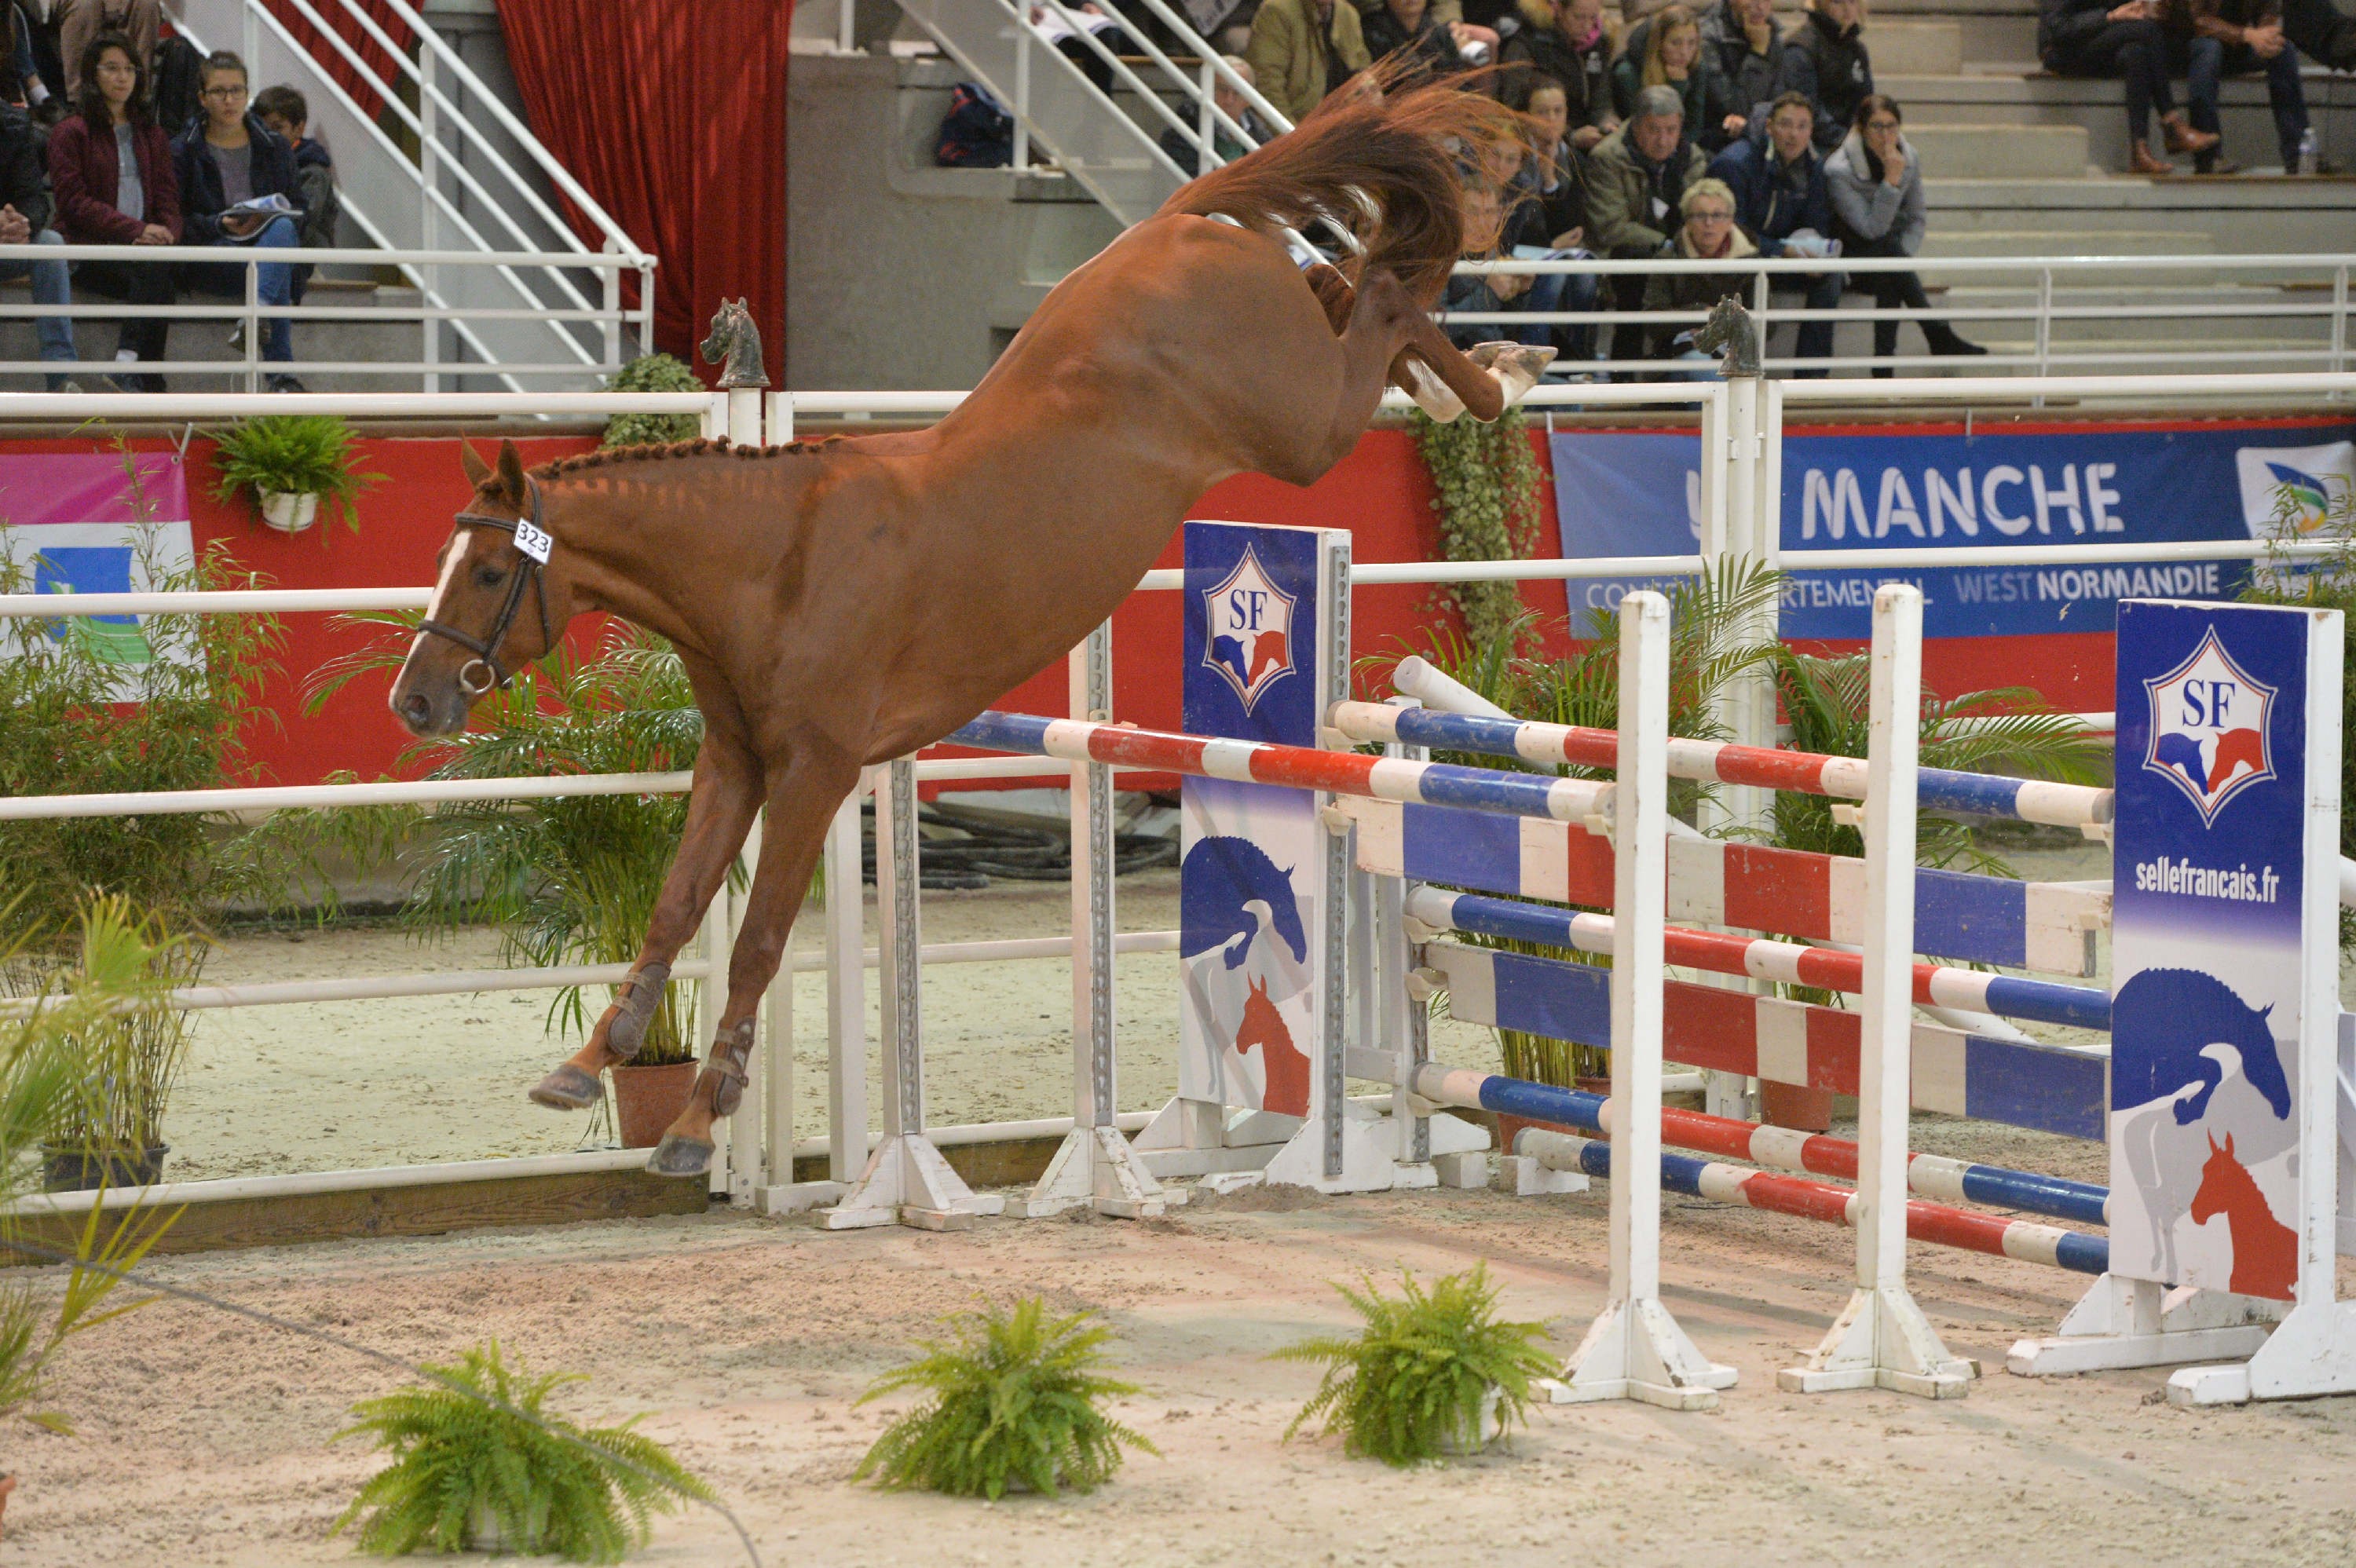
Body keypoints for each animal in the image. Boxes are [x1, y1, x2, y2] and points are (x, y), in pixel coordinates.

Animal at [391, 79, 1546, 1168]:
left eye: (487, 571)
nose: (415, 700)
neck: (778, 563)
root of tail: (1177, 222)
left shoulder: (813, 772)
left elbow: (759, 938)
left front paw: (695, 1121)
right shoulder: (735, 761)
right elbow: (676, 906)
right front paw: (588, 1064)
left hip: (1301, 429)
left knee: (1384, 302)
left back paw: (1497, 381)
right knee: (1350, 290)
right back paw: (1474, 369)